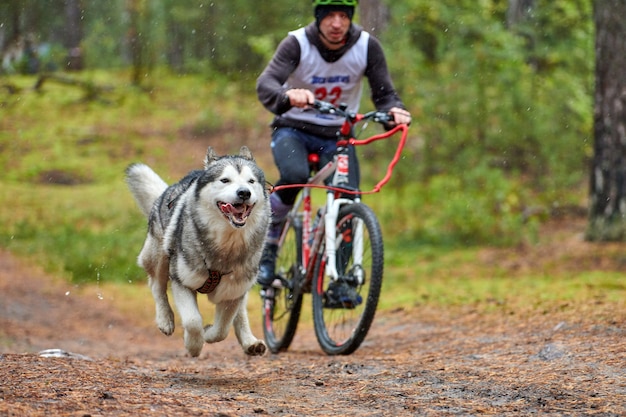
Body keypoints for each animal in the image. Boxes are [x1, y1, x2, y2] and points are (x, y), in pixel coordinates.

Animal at [125, 145, 270, 354]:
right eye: (225, 180)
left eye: (251, 181)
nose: (244, 192)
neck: (225, 245)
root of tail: (170, 189)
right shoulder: (181, 282)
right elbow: (193, 321)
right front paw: (193, 345)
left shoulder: (234, 291)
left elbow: (222, 329)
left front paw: (208, 333)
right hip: (159, 256)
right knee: (156, 286)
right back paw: (165, 319)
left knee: (240, 313)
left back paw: (250, 342)